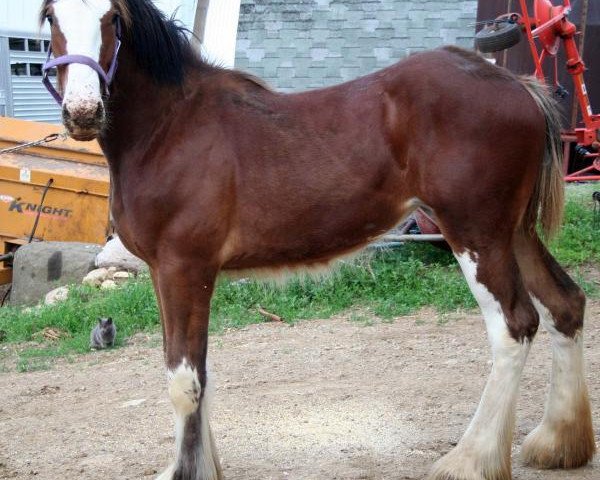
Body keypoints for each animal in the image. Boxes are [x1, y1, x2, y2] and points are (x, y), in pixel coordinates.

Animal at [42, 0, 596, 480]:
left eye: (113, 17)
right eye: (49, 15)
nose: (83, 111)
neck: (170, 127)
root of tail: (519, 85)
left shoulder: (184, 267)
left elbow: (184, 380)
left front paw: (185, 471)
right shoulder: (169, 273)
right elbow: (199, 373)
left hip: (476, 233)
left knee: (514, 326)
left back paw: (470, 460)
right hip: (513, 232)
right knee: (564, 304)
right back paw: (558, 444)